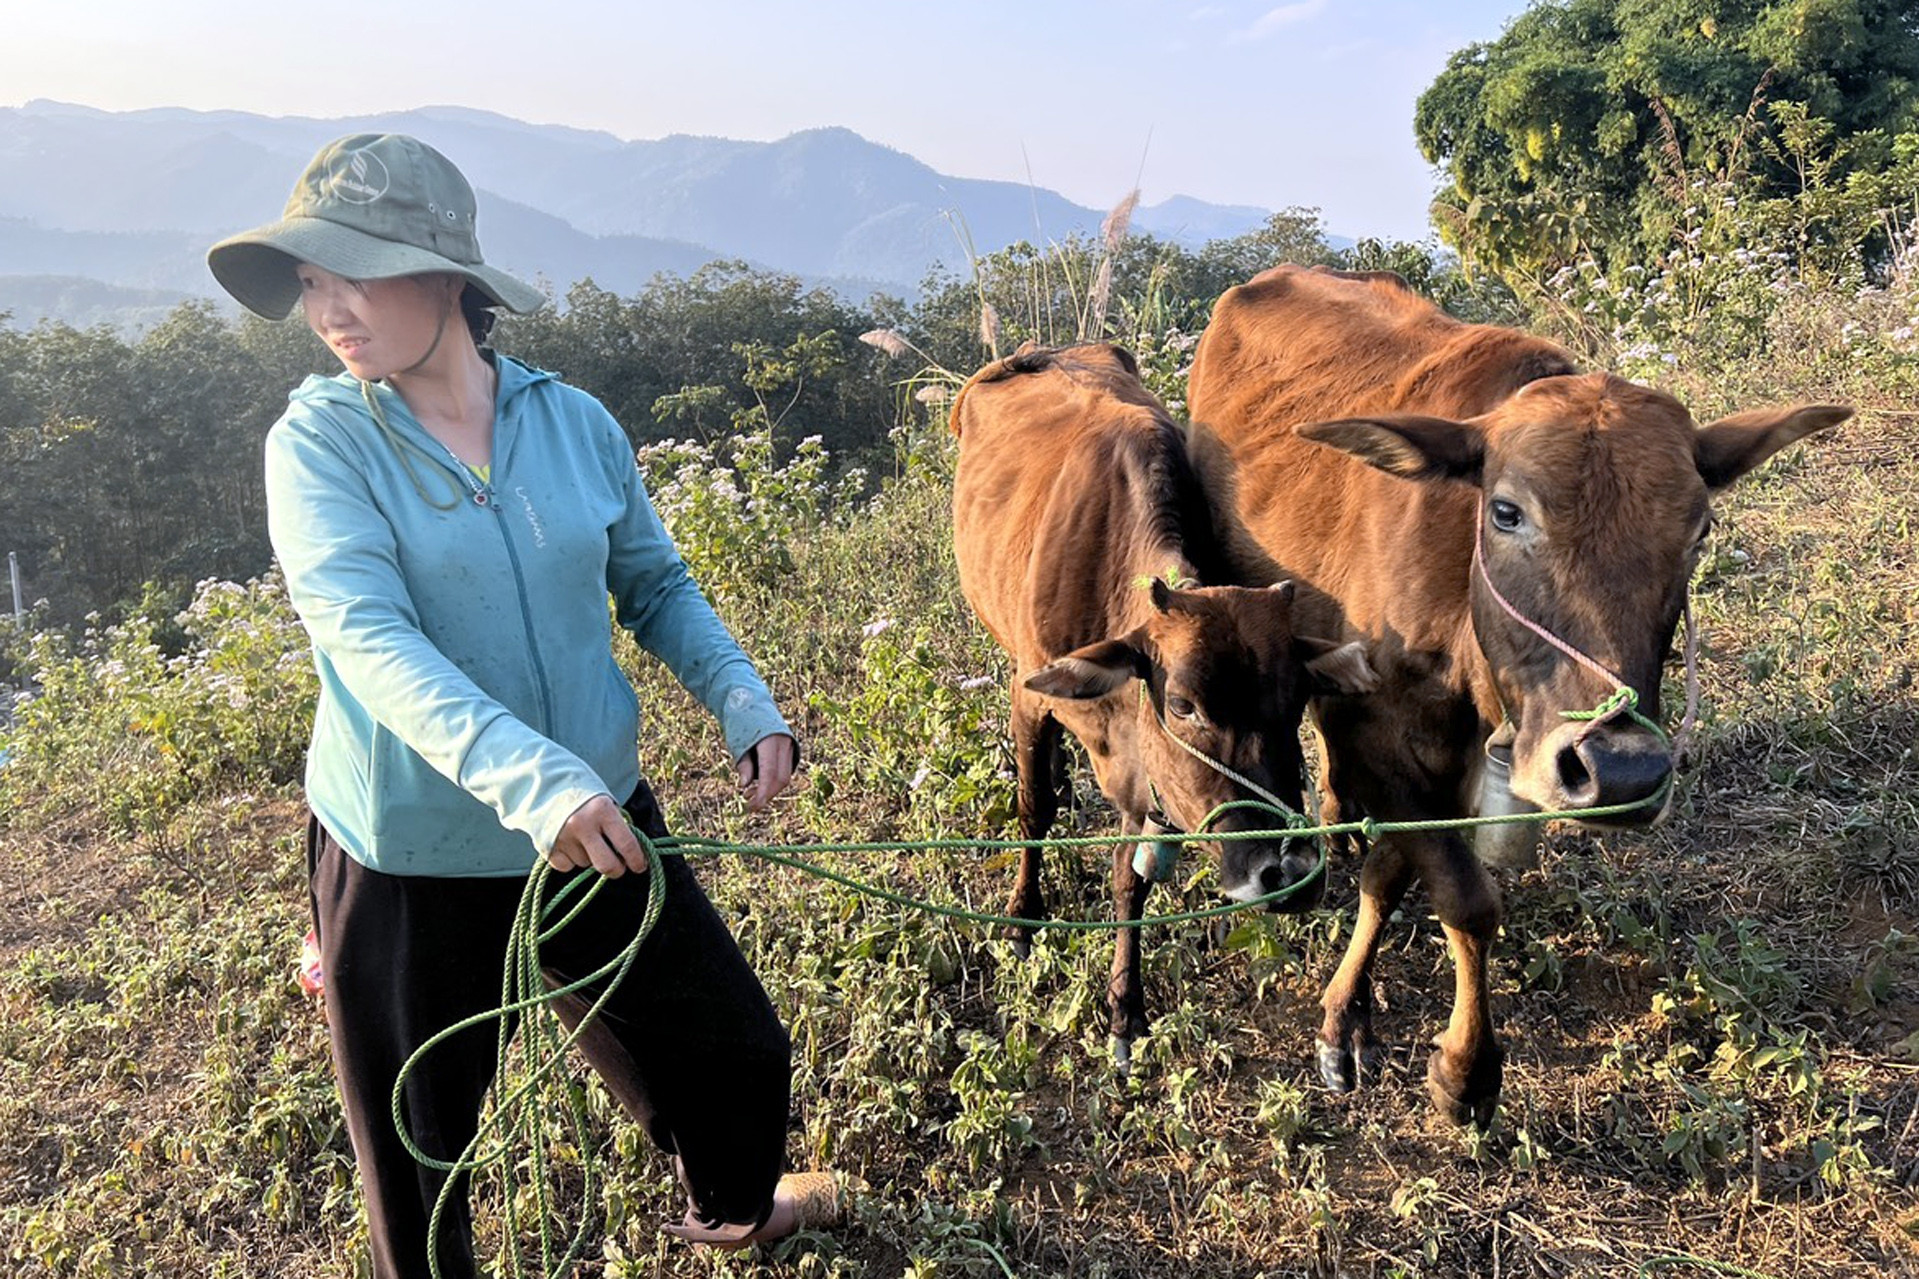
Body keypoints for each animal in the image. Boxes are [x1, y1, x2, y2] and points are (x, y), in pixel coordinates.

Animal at [947, 337, 1374, 1052]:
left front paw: (1125, 1002)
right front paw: (1023, 918)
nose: (1285, 875)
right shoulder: (1030, 698)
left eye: (1296, 703)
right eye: (1182, 706)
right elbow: (1032, 811)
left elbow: (1131, 876)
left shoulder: (1142, 771)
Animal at [1182, 263, 1842, 1121]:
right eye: (1505, 511)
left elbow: (1394, 875)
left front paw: (1370, 1017)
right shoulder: (1377, 729)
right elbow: (1465, 897)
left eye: (1698, 531)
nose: (1620, 773)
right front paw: (1455, 1064)